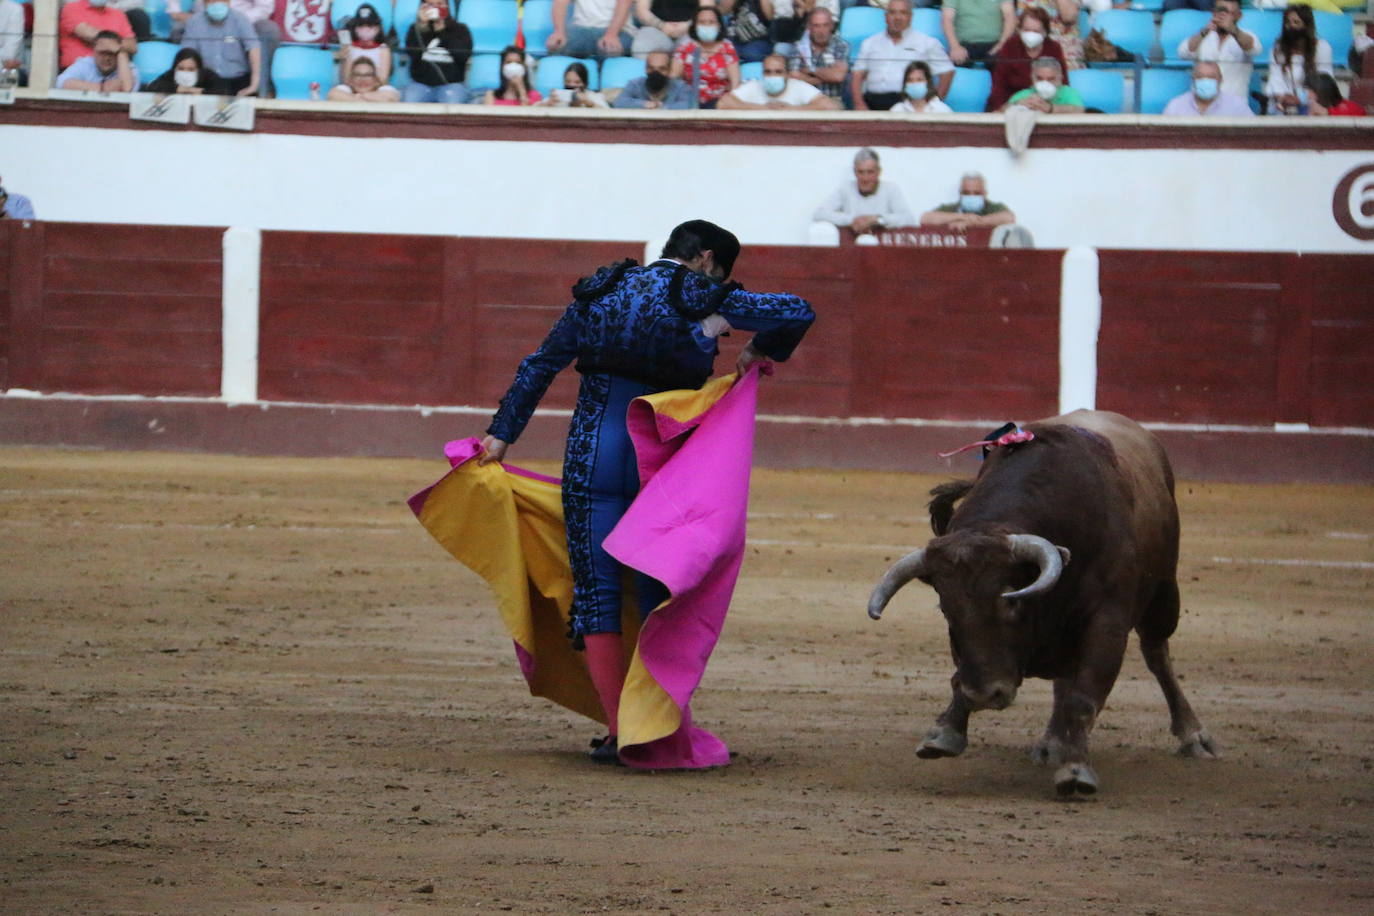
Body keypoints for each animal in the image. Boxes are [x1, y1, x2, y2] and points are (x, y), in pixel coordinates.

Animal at [862, 409, 1220, 796]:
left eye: (1010, 602)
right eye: (946, 607)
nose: (985, 696)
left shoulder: (1107, 621)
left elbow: (1084, 697)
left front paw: (1076, 772)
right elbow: (964, 675)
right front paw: (945, 732)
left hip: (1164, 595)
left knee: (1157, 655)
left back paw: (1193, 736)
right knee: (1066, 678)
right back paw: (1052, 742)